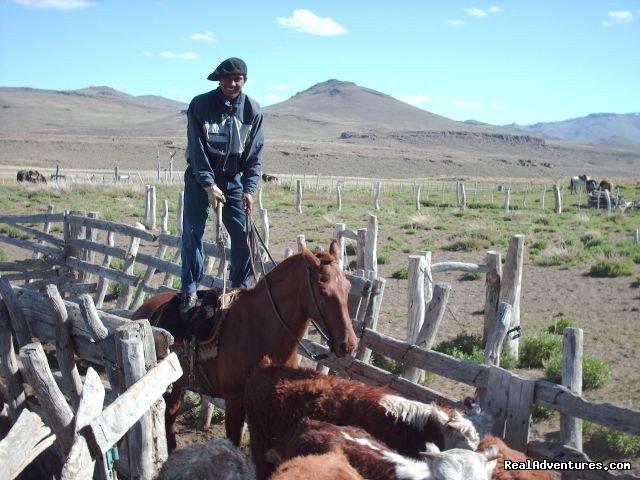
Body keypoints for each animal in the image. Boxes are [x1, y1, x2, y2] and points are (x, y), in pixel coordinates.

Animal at [132, 240, 358, 450]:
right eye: (322, 290)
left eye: (348, 288)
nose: (348, 344)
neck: (261, 329)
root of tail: (142, 311)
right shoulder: (235, 400)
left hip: (179, 384)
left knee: (170, 418)